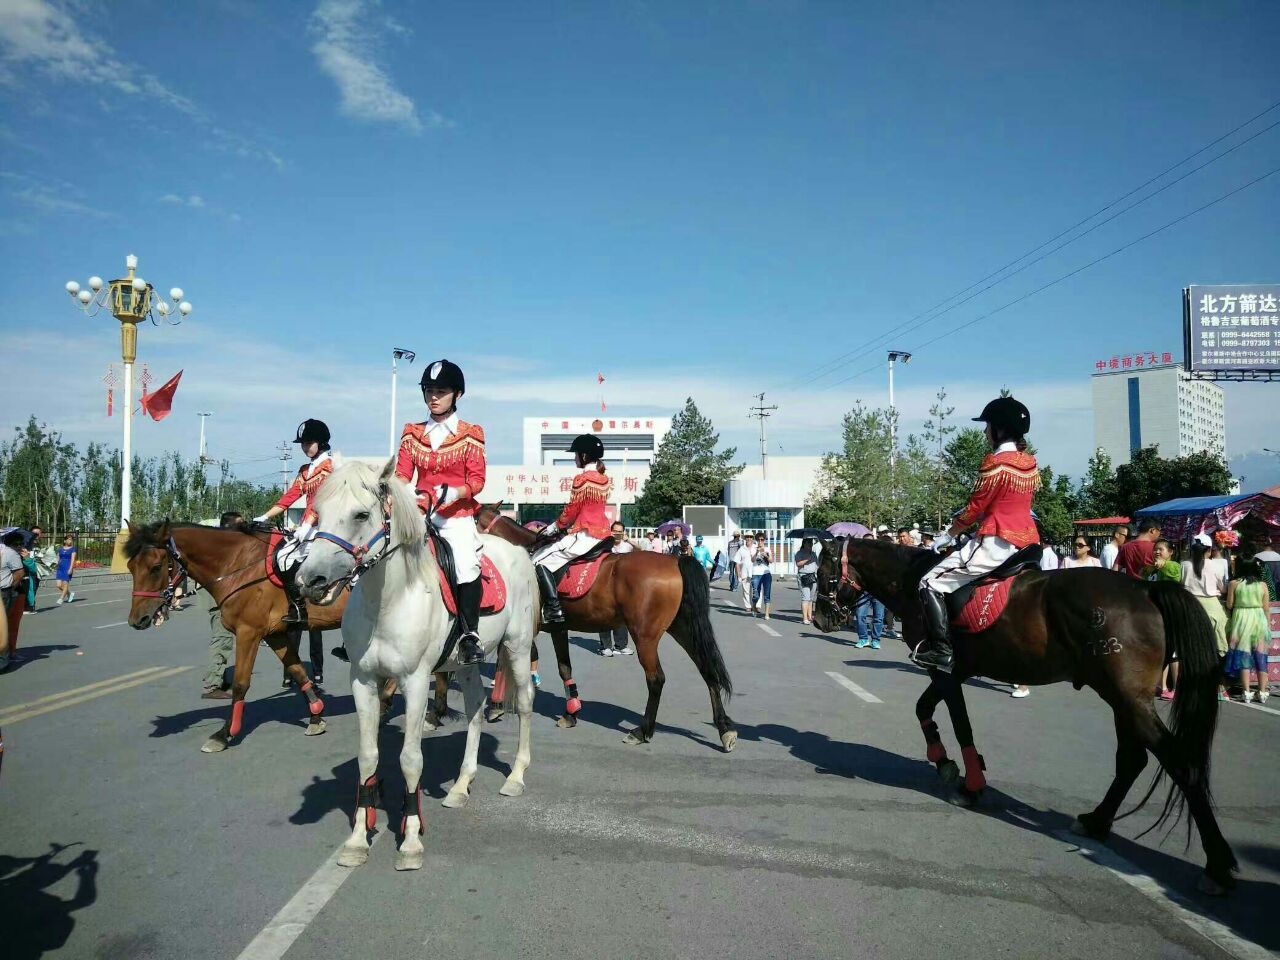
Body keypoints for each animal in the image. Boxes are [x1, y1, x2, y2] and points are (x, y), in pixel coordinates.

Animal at [124, 522, 348, 757]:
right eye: (130, 566)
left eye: (156, 567)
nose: (136, 620)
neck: (238, 566)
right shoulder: (274, 634)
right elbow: (297, 671)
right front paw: (316, 716)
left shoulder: (248, 632)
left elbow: (241, 684)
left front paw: (224, 734)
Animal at [296, 463, 537, 875]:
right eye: (318, 512)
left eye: (360, 514)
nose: (310, 581)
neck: (388, 600)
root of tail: (518, 551)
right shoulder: (363, 681)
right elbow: (368, 756)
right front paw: (357, 840)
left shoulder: (416, 681)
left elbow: (410, 760)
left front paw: (410, 841)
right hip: (466, 665)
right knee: (475, 710)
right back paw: (461, 785)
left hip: (517, 648)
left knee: (523, 704)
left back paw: (517, 777)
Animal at [476, 506, 737, 757]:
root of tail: (674, 561)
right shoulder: (558, 628)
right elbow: (564, 667)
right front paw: (571, 712)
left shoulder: (521, 628)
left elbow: (504, 663)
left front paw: (496, 706)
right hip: (683, 628)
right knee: (707, 669)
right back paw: (725, 728)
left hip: (645, 637)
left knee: (656, 679)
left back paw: (642, 731)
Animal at [814, 537, 1233, 901]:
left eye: (822, 569)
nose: (819, 618)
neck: (913, 582)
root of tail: (1146, 589)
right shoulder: (954, 674)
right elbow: (924, 710)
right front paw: (944, 760)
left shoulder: (946, 671)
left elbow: (958, 723)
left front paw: (970, 783)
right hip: (1124, 700)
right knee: (1132, 760)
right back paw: (1096, 822)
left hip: (1128, 699)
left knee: (1180, 764)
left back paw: (1216, 864)